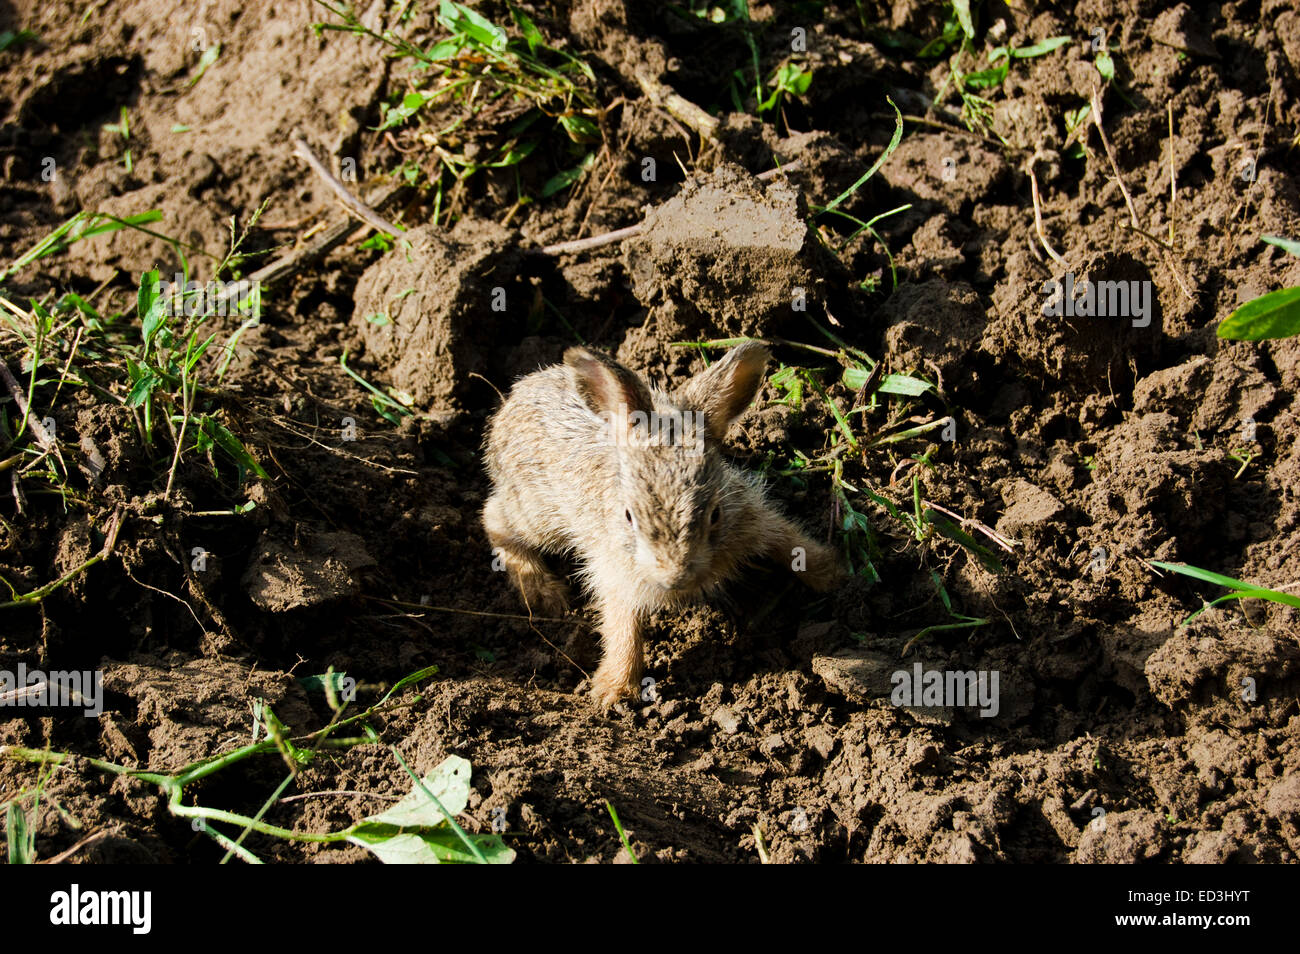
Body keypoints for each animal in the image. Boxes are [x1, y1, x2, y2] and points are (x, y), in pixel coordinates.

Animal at [480, 343, 842, 712]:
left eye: (714, 514)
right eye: (629, 516)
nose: (675, 577)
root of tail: (512, 402)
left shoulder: (748, 515)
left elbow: (787, 540)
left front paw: (830, 573)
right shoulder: (616, 568)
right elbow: (623, 627)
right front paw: (614, 690)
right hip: (538, 511)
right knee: (493, 516)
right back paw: (543, 592)